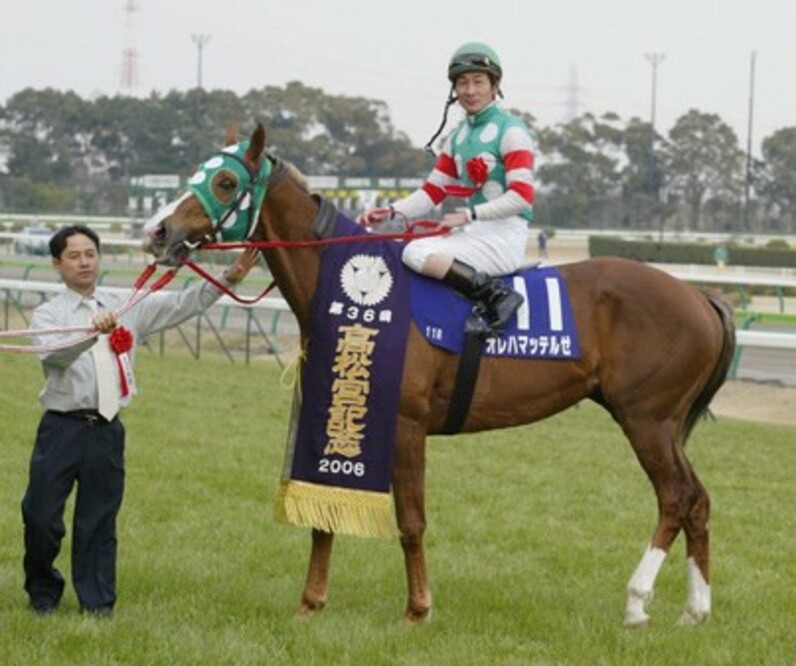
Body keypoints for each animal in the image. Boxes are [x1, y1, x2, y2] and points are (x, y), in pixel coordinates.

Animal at [141, 123, 732, 624]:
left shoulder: (405, 424)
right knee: (699, 499)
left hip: (646, 419)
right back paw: (695, 610)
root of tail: (697, 295)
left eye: (224, 181)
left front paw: (417, 609)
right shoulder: (337, 409)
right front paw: (309, 605)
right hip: (661, 423)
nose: (157, 231)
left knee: (676, 497)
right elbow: (325, 515)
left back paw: (636, 602)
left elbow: (411, 520)